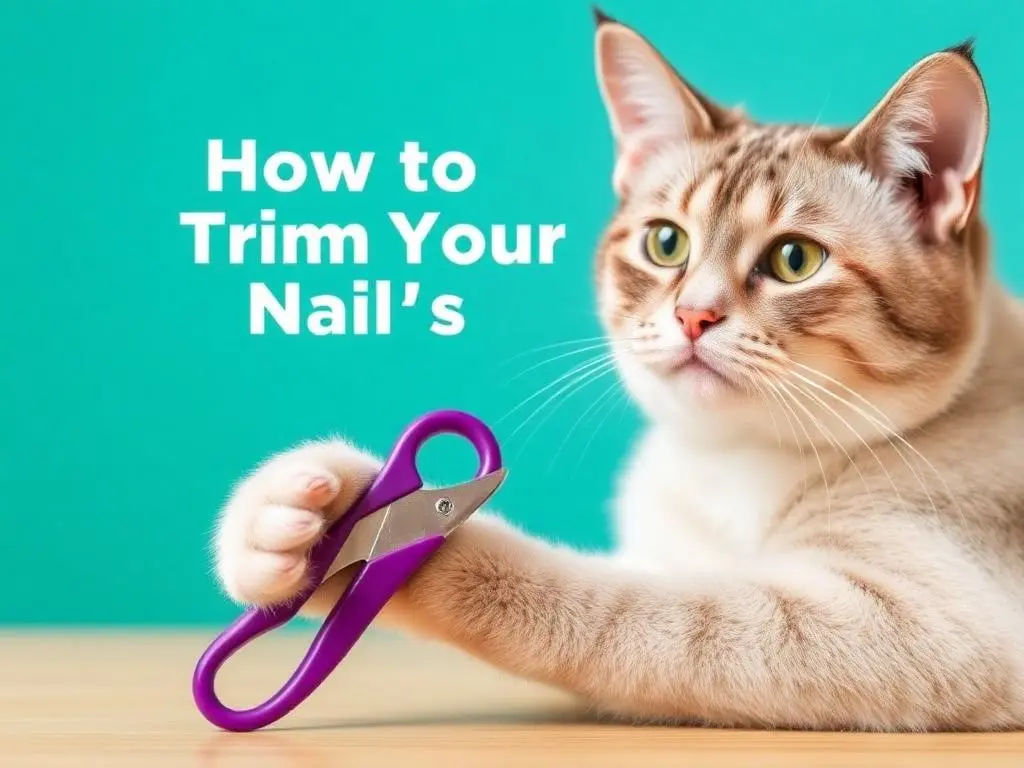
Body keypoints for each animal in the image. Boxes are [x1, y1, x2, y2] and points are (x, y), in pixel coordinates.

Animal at [209, 13, 1024, 733]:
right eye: (667, 244)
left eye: (796, 260)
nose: (694, 316)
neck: (724, 467)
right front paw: (282, 528)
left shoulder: (918, 620)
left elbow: (603, 607)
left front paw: (358, 532)